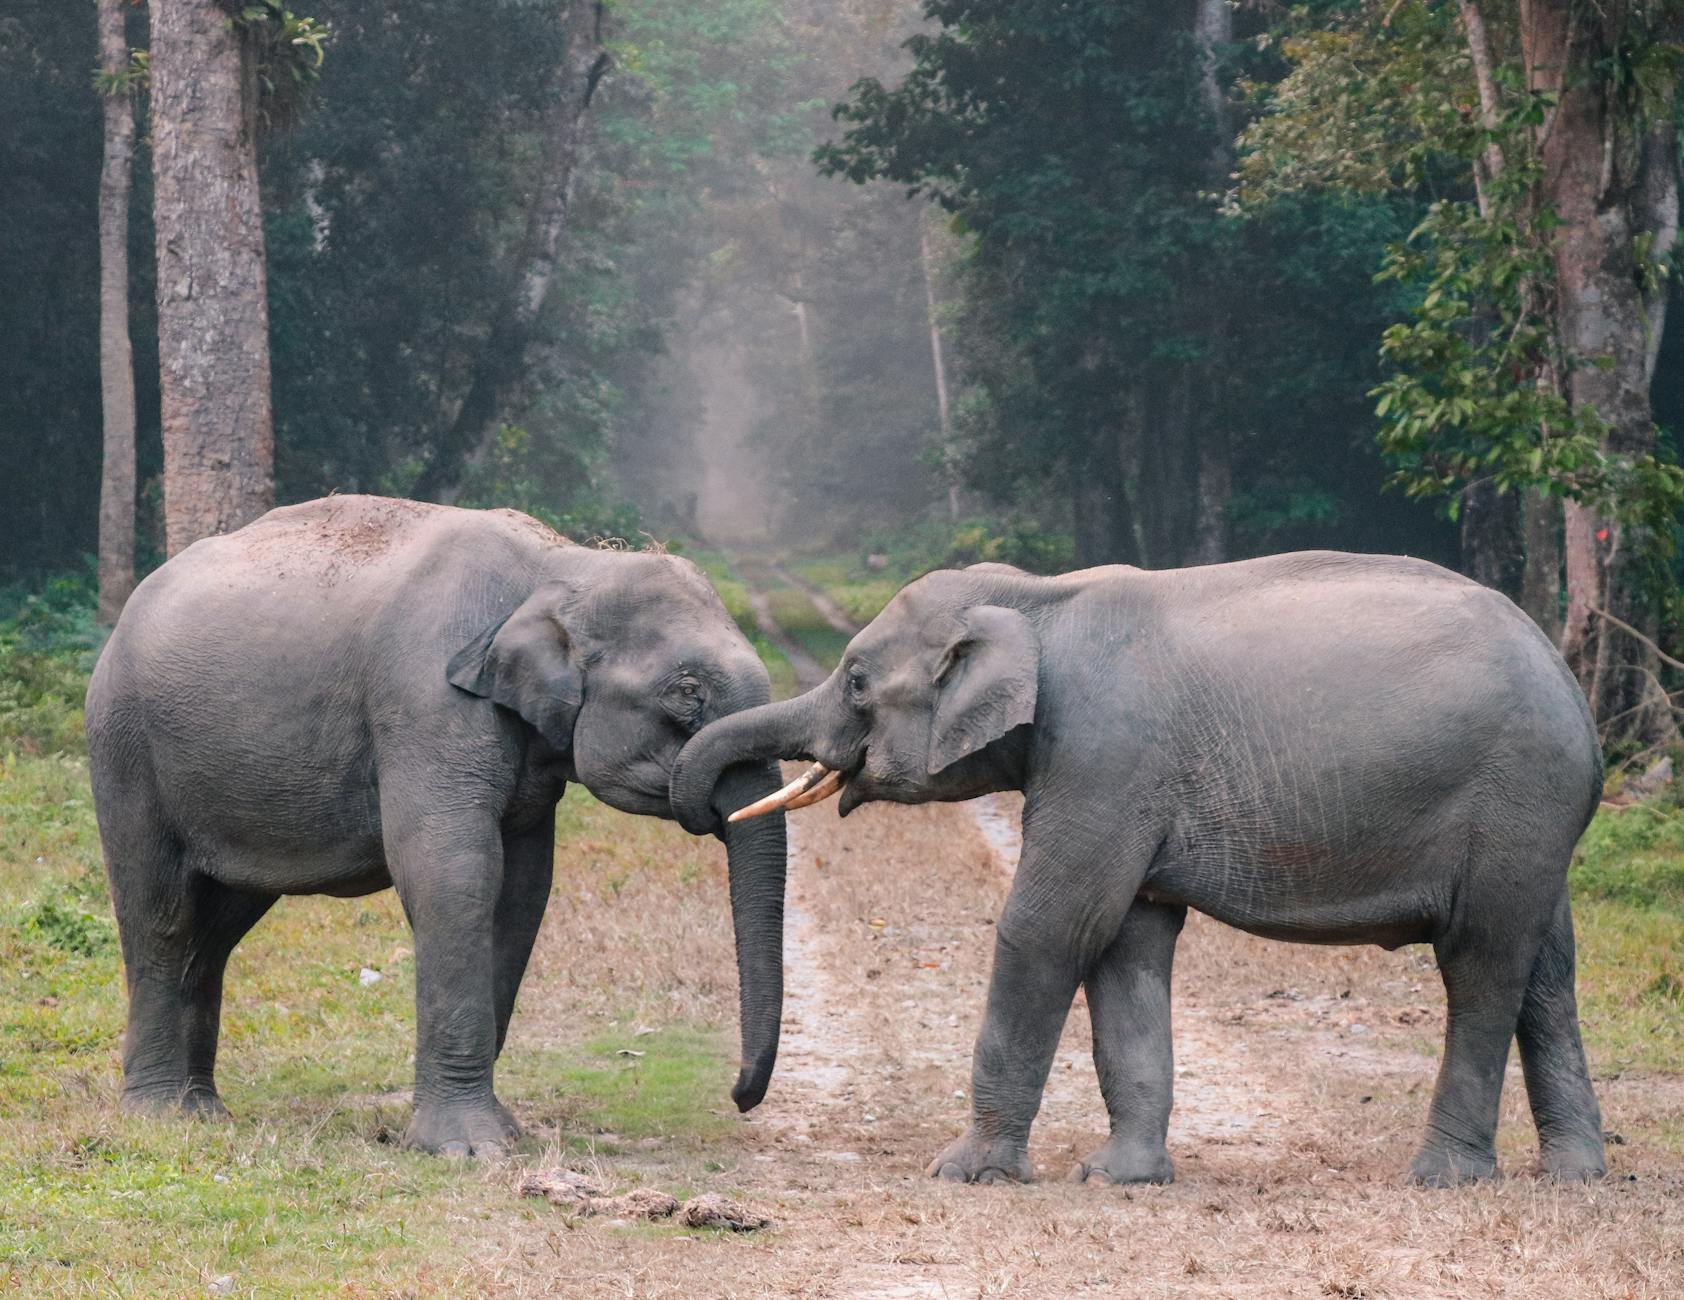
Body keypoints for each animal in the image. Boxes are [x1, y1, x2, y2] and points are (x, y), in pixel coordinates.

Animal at [85, 495, 786, 1156]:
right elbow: (455, 874)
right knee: (161, 914)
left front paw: (503, 1133)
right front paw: (467, 1149)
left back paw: (203, 1111)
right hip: (125, 747)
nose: (739, 1096)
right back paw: (159, 1115)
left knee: (217, 930)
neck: (562, 565)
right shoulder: (425, 703)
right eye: (687, 692)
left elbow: (524, 889)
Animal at [671, 552, 1608, 1188]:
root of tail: (1578, 695)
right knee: (1547, 969)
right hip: (1536, 821)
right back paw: (1575, 1175)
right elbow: (1127, 942)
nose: (741, 1100)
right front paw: (1118, 1178)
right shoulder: (1120, 781)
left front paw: (965, 1173)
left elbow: (1051, 926)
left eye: (858, 681)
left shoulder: (1106, 757)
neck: (1037, 598)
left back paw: (1442, 1178)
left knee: (1481, 964)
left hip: (1516, 794)